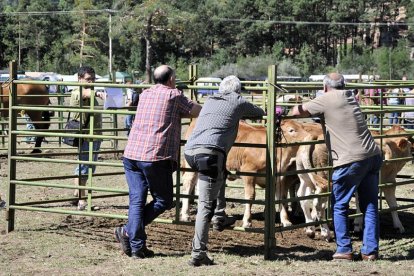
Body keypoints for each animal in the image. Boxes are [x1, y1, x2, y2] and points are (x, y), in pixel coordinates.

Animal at [181, 118, 310, 229]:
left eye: (302, 127)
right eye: (291, 130)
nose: (310, 137)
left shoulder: (279, 177)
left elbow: (281, 197)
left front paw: (286, 221)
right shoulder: (249, 173)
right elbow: (250, 196)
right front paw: (247, 221)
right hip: (191, 165)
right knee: (188, 183)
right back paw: (185, 215)